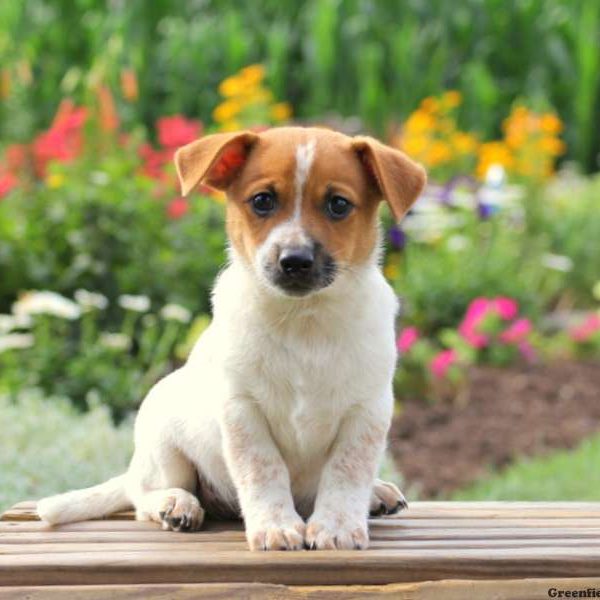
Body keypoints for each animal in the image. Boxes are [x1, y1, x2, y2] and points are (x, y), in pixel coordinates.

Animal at [37, 129, 426, 552]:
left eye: (338, 204)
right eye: (262, 200)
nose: (295, 261)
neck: (304, 321)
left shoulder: (367, 412)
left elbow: (346, 473)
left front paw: (336, 526)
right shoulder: (243, 410)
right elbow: (264, 470)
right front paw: (276, 526)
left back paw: (375, 494)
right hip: (163, 443)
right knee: (145, 495)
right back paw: (176, 504)